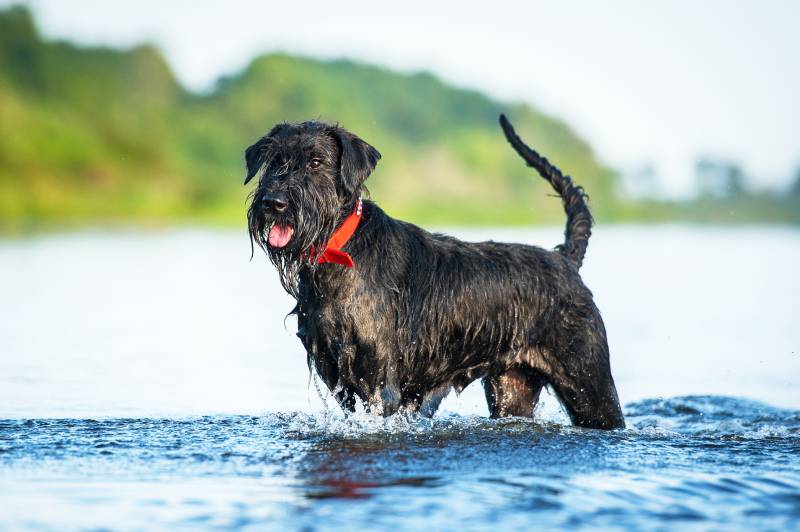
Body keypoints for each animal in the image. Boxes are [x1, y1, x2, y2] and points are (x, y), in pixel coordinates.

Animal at [244, 114, 624, 430]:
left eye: (316, 162)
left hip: (590, 387)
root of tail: (566, 260)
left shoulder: (381, 387)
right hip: (513, 388)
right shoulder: (339, 379)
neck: (341, 250)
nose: (273, 203)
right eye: (274, 160)